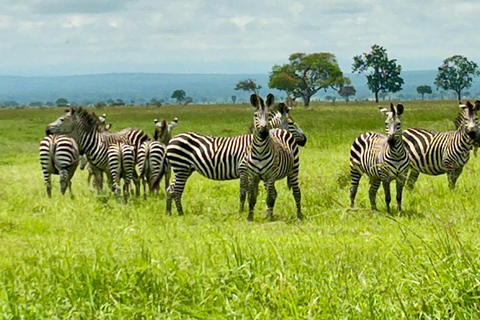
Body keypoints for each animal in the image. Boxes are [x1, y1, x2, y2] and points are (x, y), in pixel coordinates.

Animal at [163, 96, 306, 215]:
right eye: (291, 124)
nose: (305, 139)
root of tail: (171, 140)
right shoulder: (244, 169)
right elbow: (244, 192)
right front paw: (241, 212)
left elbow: (250, 192)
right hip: (181, 167)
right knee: (176, 190)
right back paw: (180, 214)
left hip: (184, 169)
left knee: (170, 189)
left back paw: (169, 212)